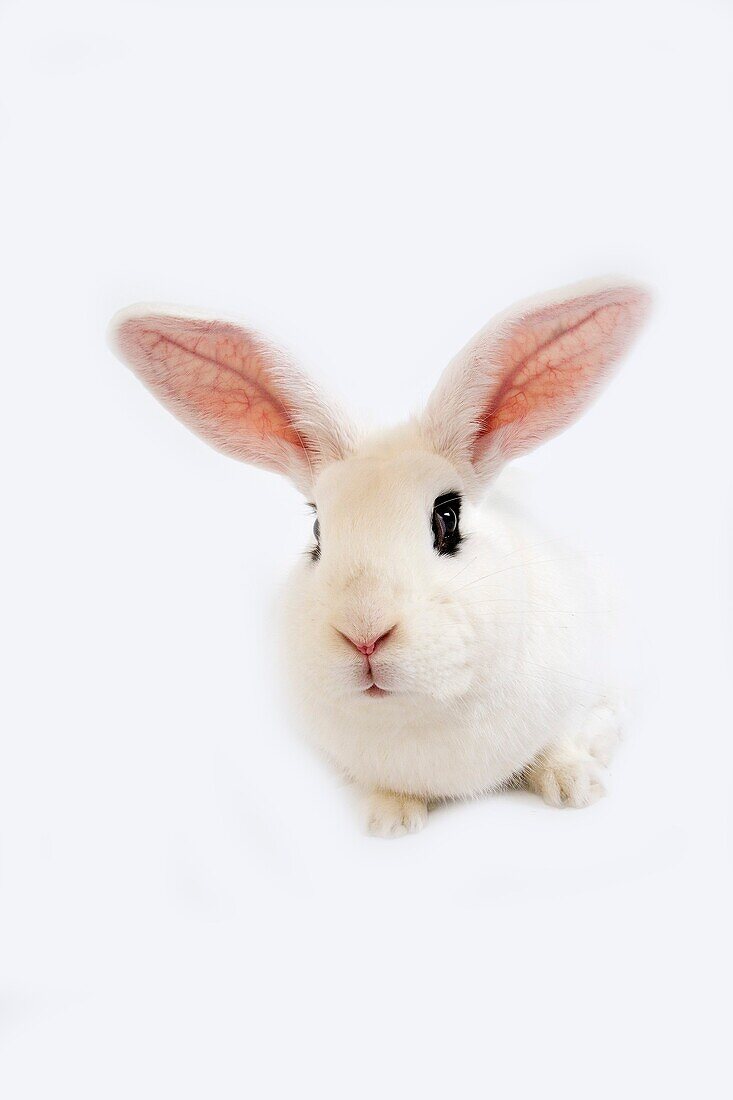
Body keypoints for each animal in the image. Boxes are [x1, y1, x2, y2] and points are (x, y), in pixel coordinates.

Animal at [107, 275, 647, 831]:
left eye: (447, 517)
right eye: (318, 529)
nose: (363, 633)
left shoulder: (598, 693)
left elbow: (564, 740)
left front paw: (577, 787)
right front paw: (390, 820)